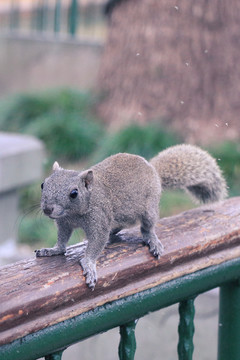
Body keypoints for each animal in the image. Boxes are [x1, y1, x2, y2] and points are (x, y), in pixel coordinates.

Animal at [35, 144, 227, 290]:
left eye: (74, 193)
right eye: (43, 184)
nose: (47, 209)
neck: (74, 214)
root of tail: (154, 172)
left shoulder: (99, 220)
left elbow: (97, 242)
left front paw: (89, 265)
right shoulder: (64, 223)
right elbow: (62, 241)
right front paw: (53, 250)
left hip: (149, 209)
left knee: (146, 227)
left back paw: (152, 239)